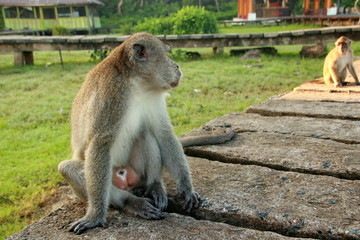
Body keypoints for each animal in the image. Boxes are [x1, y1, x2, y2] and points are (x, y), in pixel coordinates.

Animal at [58, 31, 235, 234]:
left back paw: (154, 186)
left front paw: (186, 188)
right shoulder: (111, 94)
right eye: (166, 54)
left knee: (145, 134)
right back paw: (131, 202)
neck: (136, 85)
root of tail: (124, 175)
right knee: (68, 168)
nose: (177, 66)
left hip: (136, 174)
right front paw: (94, 216)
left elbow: (163, 133)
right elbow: (99, 144)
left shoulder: (153, 96)